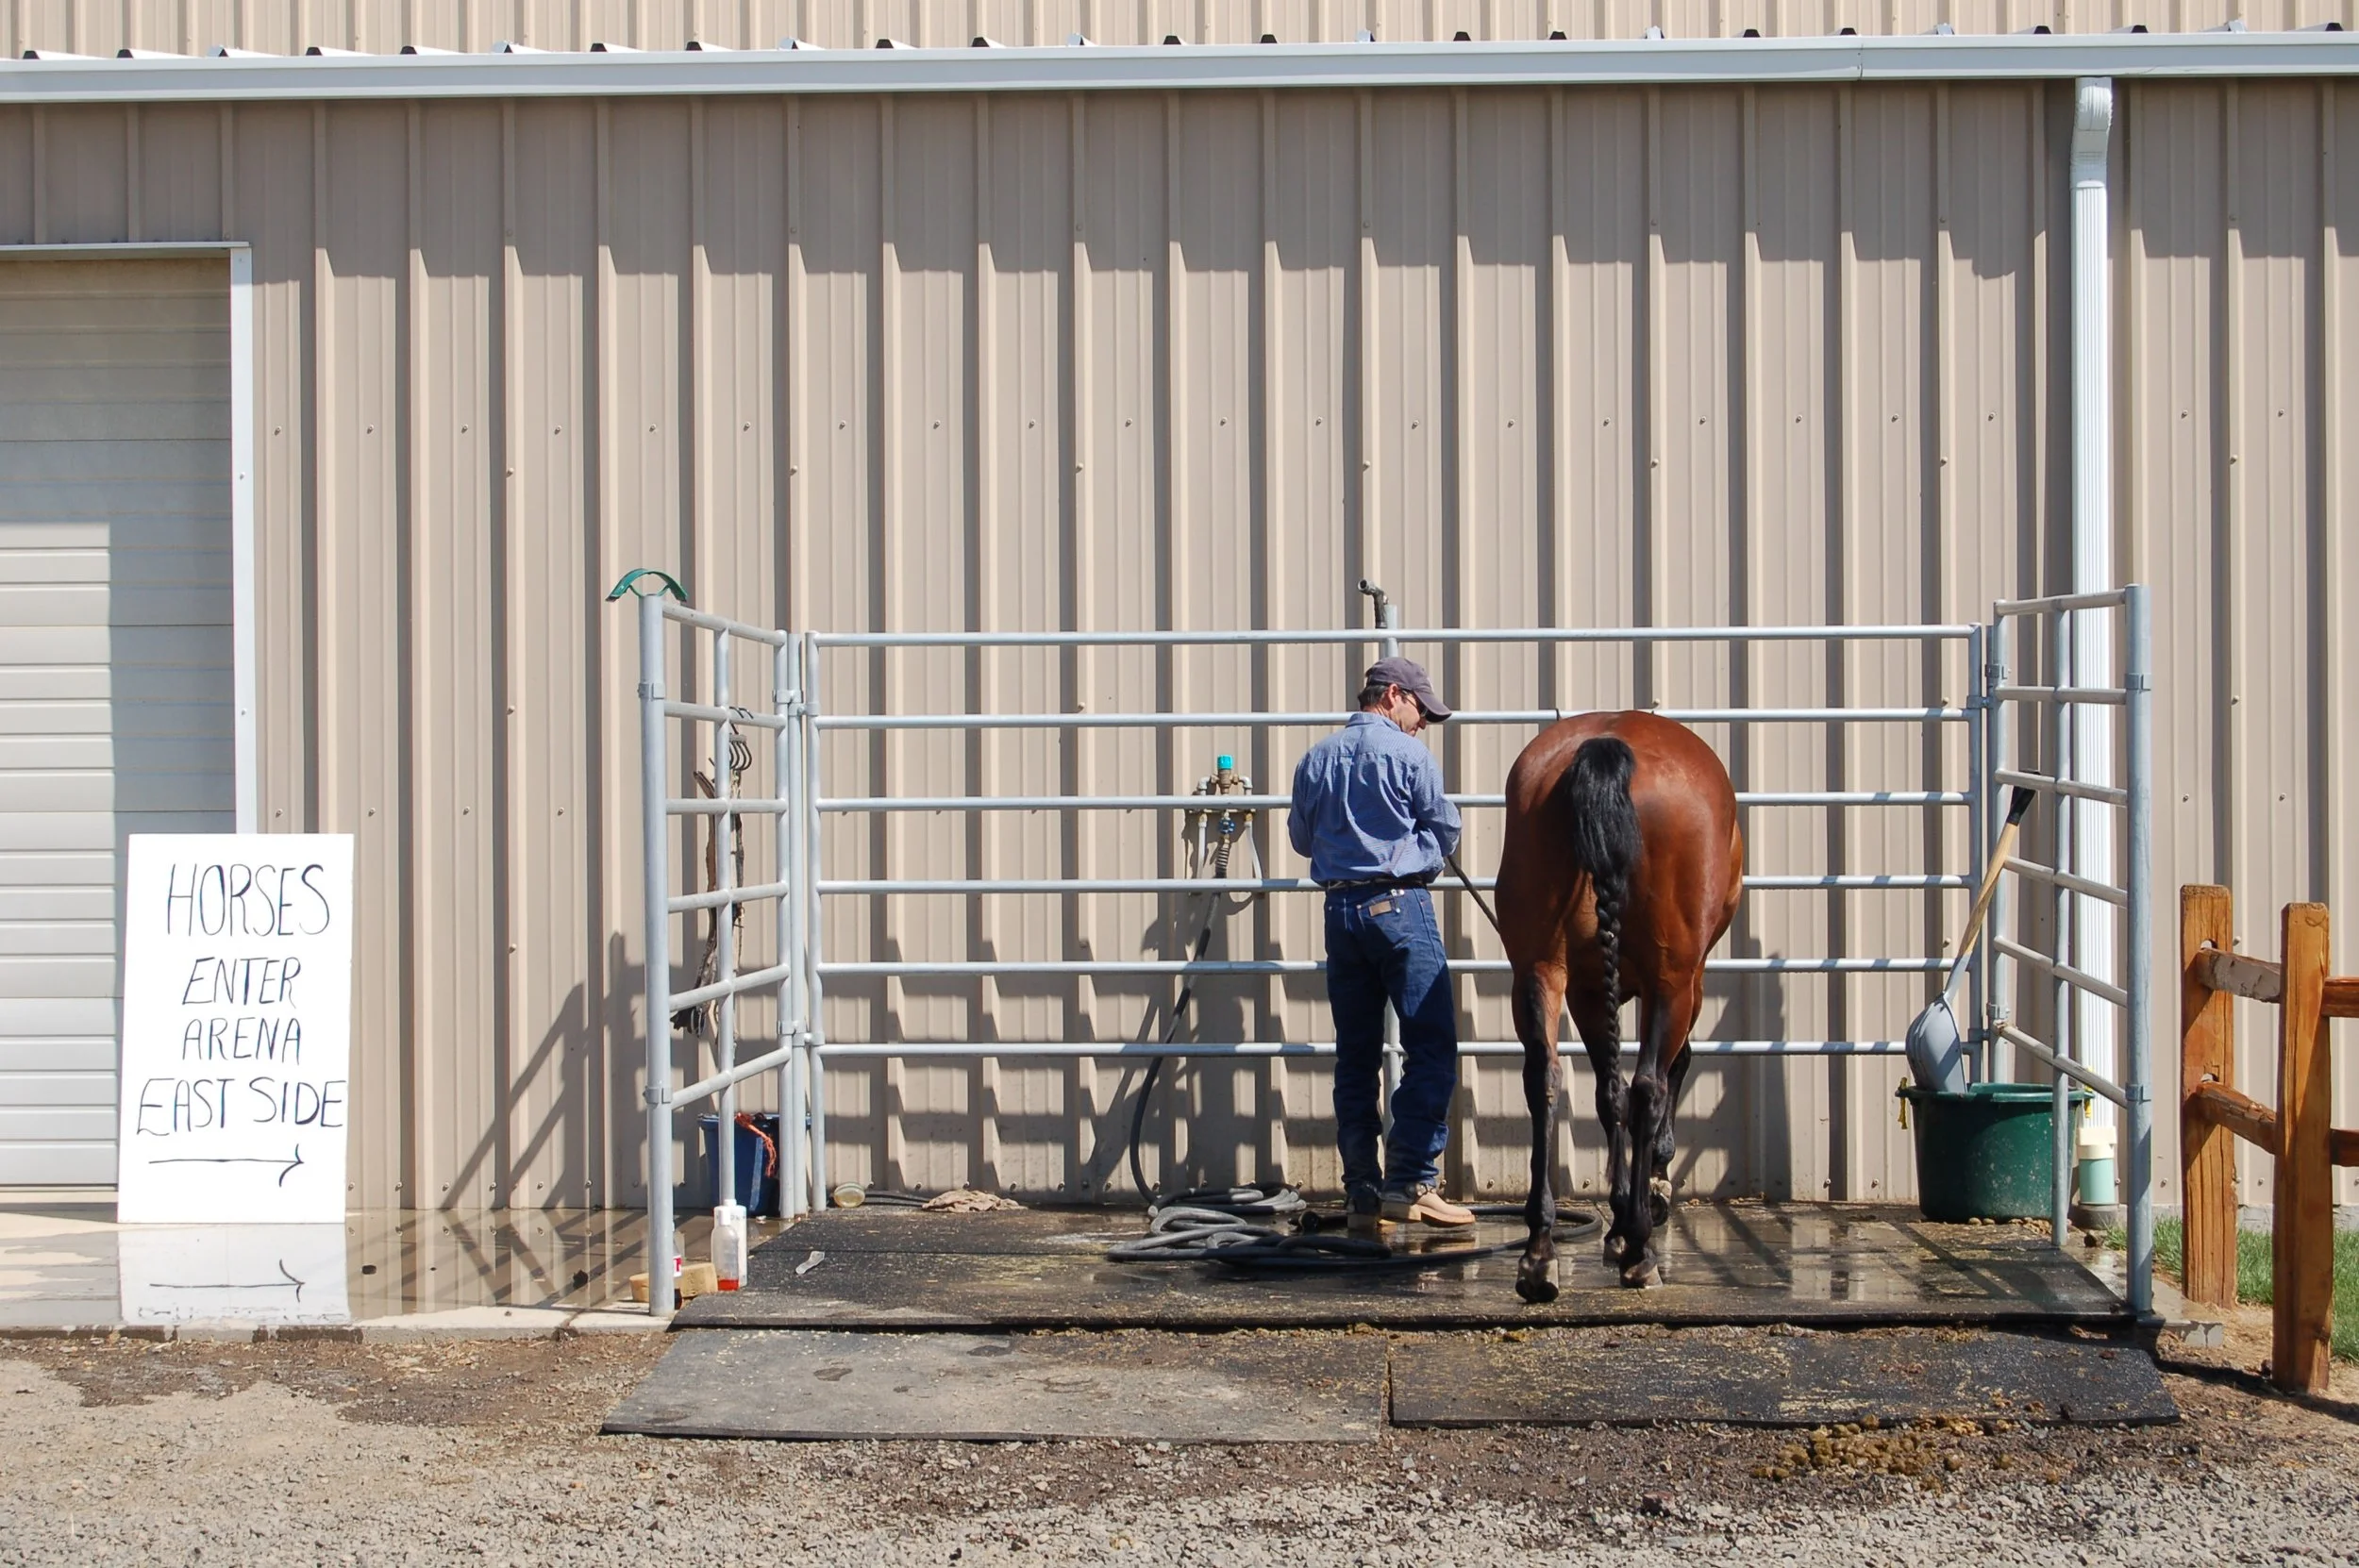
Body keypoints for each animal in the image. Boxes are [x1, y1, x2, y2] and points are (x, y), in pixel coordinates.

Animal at [1493, 712, 1743, 1298]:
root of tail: (1610, 746)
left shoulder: (1586, 990)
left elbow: (1608, 1094)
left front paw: (1618, 1216)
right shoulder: (1685, 980)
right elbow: (1668, 1070)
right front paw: (1647, 1197)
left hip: (1541, 970)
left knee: (1545, 1077)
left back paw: (1540, 1253)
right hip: (1672, 980)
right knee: (1649, 1087)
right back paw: (1640, 1250)